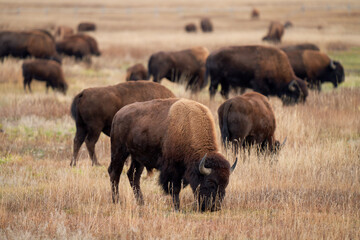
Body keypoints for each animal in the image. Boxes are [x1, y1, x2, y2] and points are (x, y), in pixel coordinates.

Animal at [108, 98, 238, 211]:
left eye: (225, 184)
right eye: (210, 182)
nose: (214, 207)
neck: (189, 127)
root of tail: (117, 115)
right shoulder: (172, 169)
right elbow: (174, 189)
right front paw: (177, 208)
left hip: (138, 158)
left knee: (133, 176)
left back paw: (141, 202)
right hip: (119, 151)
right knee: (115, 173)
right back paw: (116, 201)